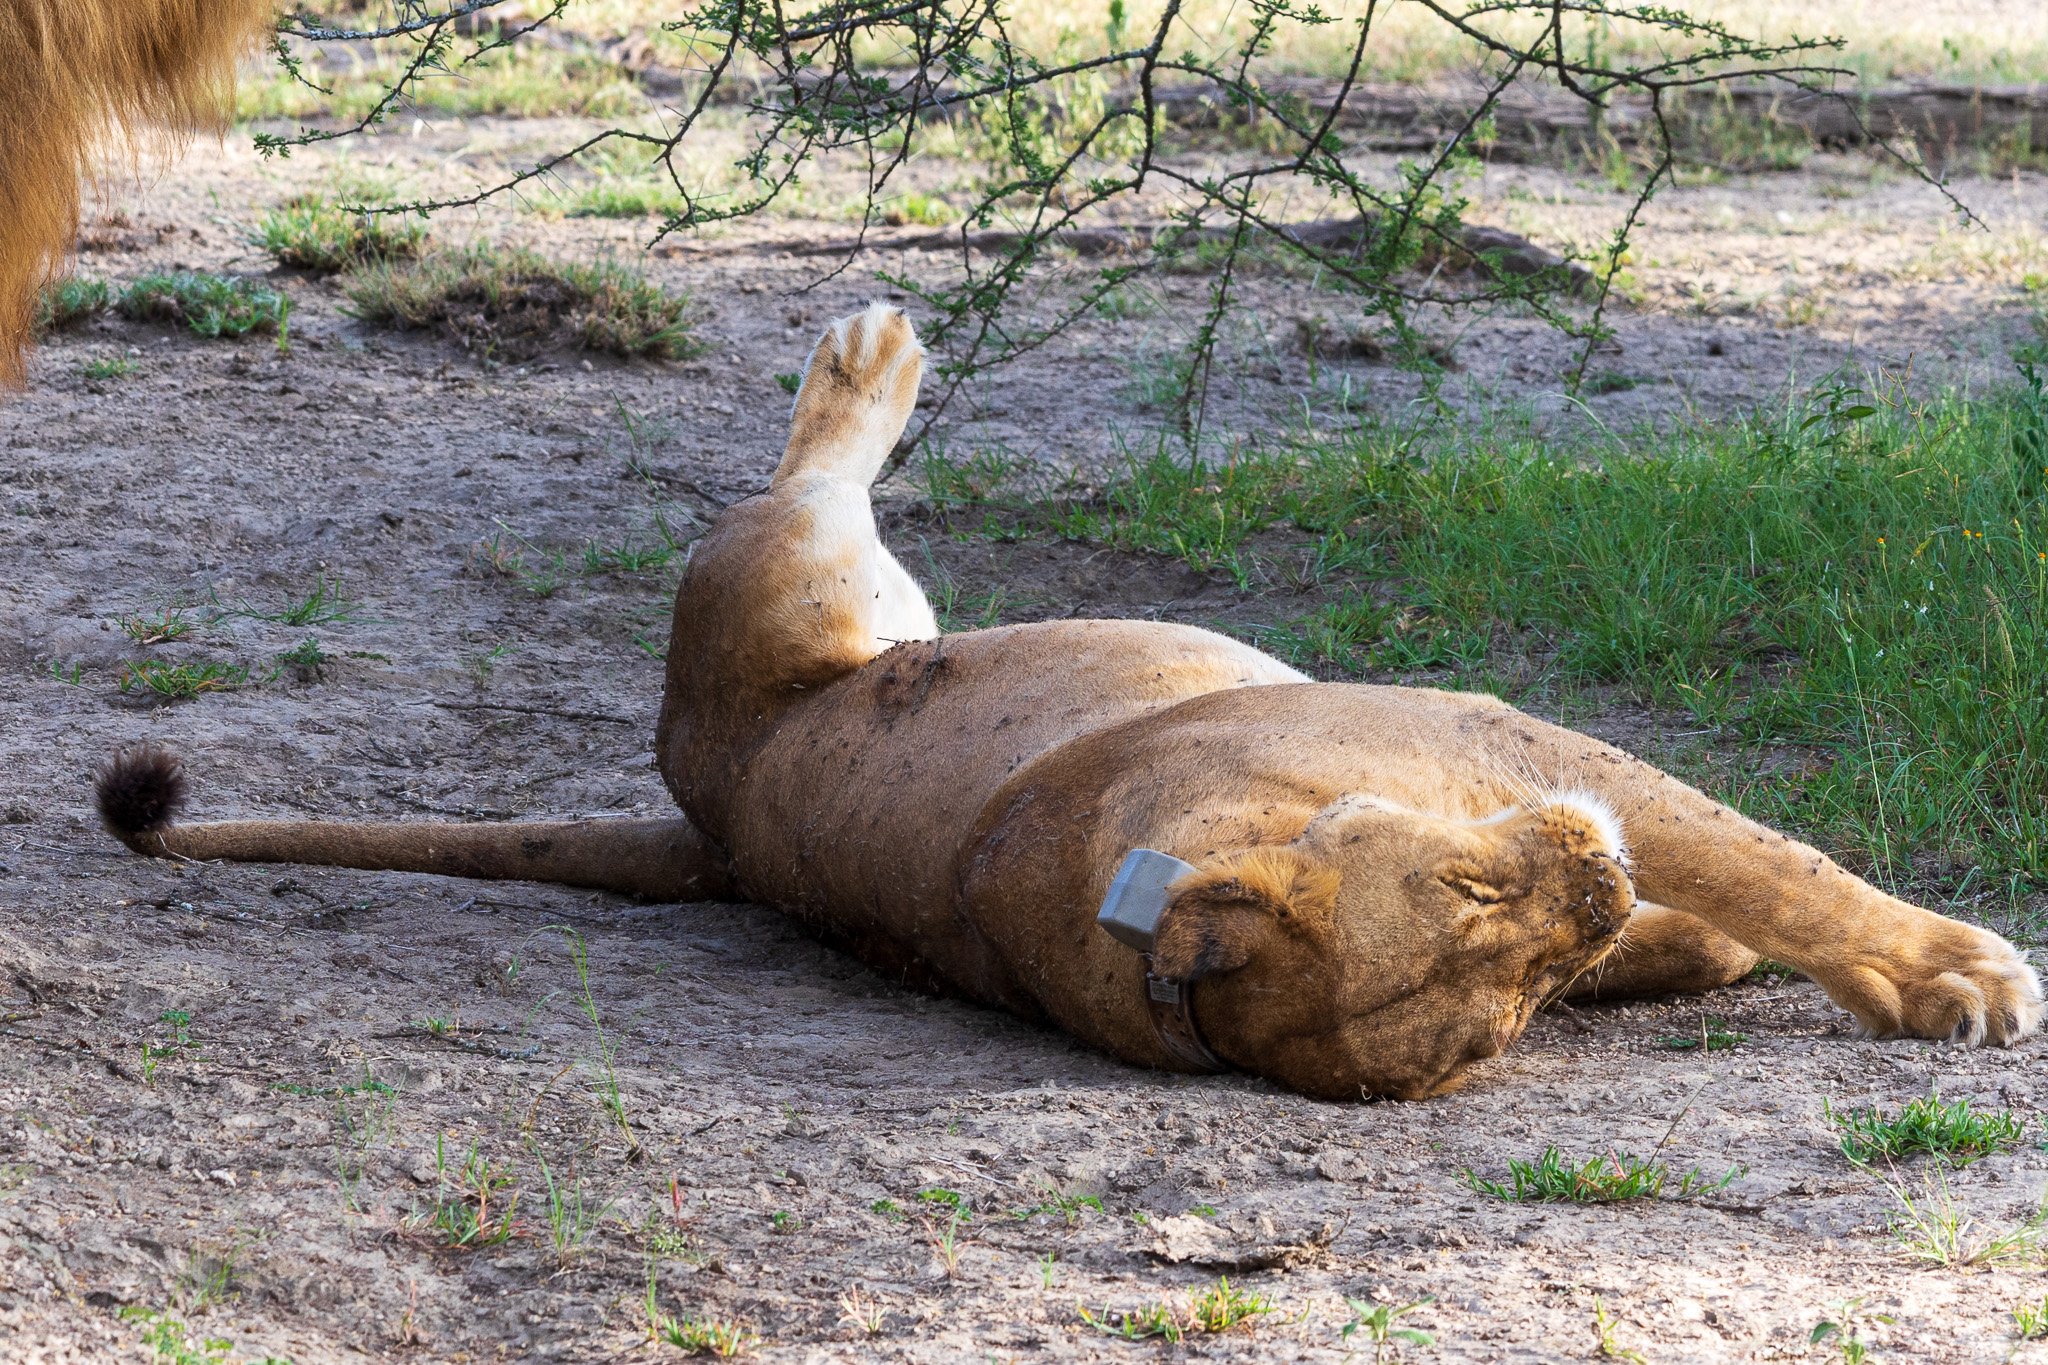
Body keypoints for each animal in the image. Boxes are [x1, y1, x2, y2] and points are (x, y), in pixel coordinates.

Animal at [99, 304, 2048, 1096]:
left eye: (1521, 1005)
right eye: (1475, 924)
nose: (1587, 885)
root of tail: (709, 815)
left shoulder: (1531, 774)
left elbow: (1719, 886)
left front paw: (1704, 939)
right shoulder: (1509, 736)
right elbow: (1772, 864)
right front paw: (1956, 973)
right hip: (801, 574)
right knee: (809, 472)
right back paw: (873, 352)